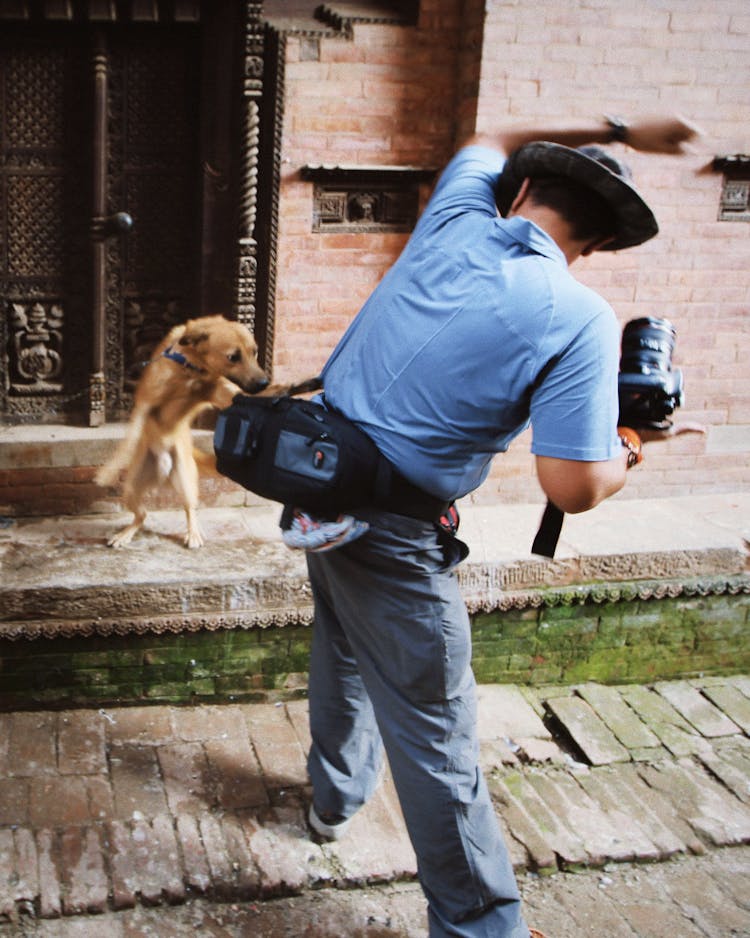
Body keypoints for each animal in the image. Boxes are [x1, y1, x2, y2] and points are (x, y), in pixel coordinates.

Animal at [96, 314, 274, 548]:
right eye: (233, 357)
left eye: (254, 352)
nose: (264, 383)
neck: (192, 366)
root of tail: (161, 472)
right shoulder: (145, 406)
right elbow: (128, 442)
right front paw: (107, 472)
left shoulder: (220, 393)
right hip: (131, 489)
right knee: (142, 516)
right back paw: (125, 534)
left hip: (186, 483)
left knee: (190, 509)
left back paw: (194, 534)